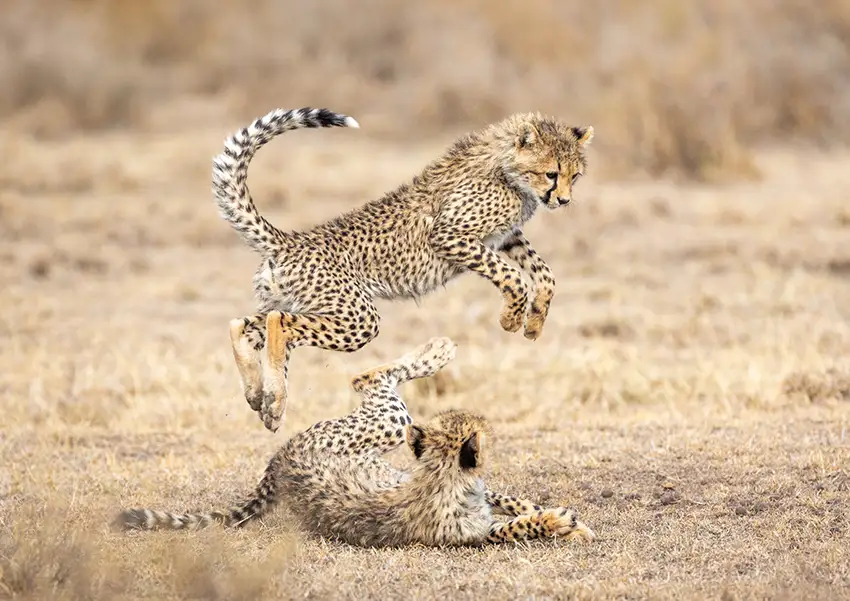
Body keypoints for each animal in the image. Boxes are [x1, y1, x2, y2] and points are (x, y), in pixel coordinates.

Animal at [115, 337, 596, 548]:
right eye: (474, 426)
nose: (484, 422)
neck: (439, 477)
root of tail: (277, 460)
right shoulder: (469, 534)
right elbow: (514, 525)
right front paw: (558, 522)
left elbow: (508, 500)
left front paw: (559, 515)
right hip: (388, 422)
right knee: (368, 376)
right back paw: (438, 349)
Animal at [213, 107, 594, 433]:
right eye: (551, 173)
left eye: (575, 176)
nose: (563, 200)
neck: (507, 169)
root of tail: (289, 241)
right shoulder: (451, 236)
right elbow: (513, 276)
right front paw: (511, 318)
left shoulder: (505, 237)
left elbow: (544, 273)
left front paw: (534, 321)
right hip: (357, 318)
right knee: (279, 322)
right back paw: (275, 400)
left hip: (300, 302)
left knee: (243, 324)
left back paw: (262, 397)